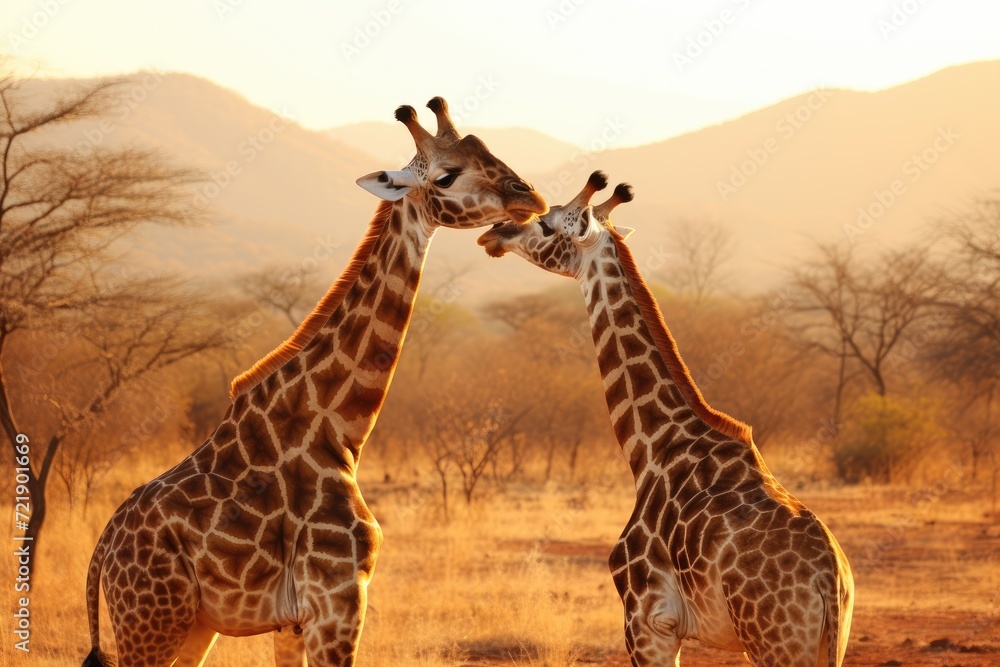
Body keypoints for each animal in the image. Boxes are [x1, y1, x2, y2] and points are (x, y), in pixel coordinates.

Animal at [81, 97, 547, 667]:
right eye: (445, 175)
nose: (530, 197)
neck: (338, 429)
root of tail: (102, 552)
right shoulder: (338, 600)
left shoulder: (294, 621)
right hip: (150, 621)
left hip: (192, 626)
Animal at [477, 171, 853, 667]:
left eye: (547, 224)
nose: (494, 233)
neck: (653, 446)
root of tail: (829, 581)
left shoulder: (647, 620)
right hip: (826, 643)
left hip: (774, 643)